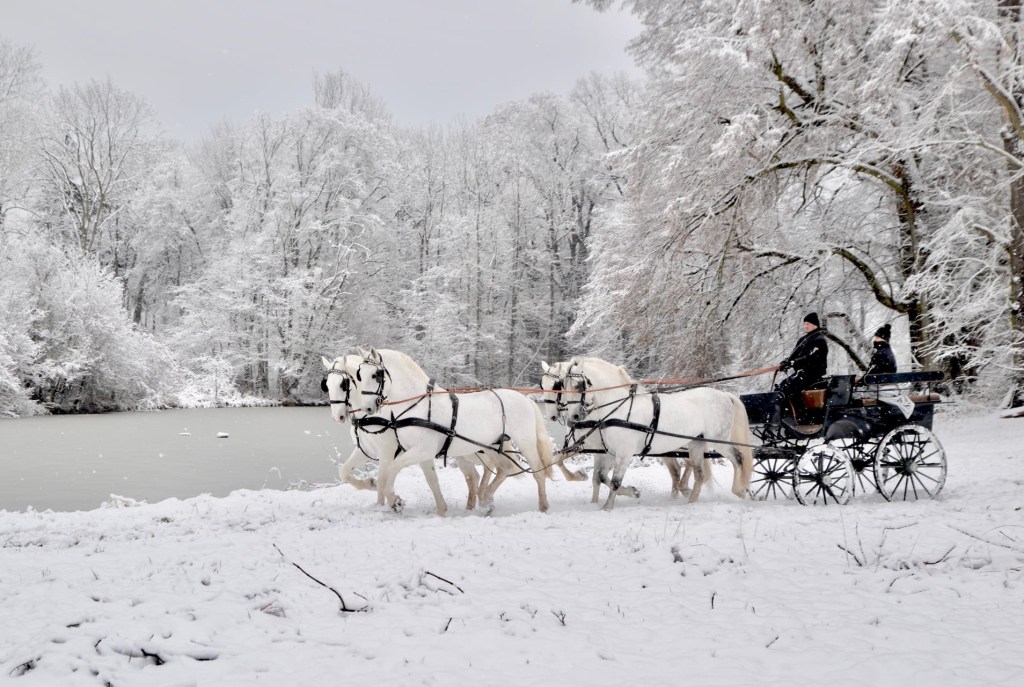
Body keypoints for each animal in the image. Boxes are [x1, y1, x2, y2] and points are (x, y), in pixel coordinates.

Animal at [319, 358, 512, 513]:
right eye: (326, 385)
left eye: (343, 384)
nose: (338, 416)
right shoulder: (366, 449)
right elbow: (344, 472)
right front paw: (370, 487)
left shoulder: (387, 451)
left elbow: (383, 479)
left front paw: (386, 504)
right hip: (463, 452)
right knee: (474, 475)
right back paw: (475, 503)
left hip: (477, 449)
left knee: (492, 467)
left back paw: (484, 498)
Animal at [352, 352, 561, 513]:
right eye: (360, 375)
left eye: (376, 375)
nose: (368, 408)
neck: (419, 405)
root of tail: (526, 399)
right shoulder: (421, 454)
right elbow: (432, 481)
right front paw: (441, 510)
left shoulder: (422, 450)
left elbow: (393, 467)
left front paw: (395, 500)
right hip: (492, 444)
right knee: (504, 468)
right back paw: (485, 499)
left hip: (525, 442)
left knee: (537, 472)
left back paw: (542, 506)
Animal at [544, 358, 704, 501]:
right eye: (543, 385)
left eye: (557, 386)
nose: (551, 415)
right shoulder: (588, 446)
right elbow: (561, 461)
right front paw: (588, 491)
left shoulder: (602, 449)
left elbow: (600, 477)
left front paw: (630, 492)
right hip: (666, 448)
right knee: (677, 470)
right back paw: (677, 494)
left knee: (688, 464)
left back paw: (684, 490)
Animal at [561, 358, 753, 507]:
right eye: (563, 386)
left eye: (578, 385)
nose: (574, 416)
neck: (621, 407)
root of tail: (725, 395)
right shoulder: (609, 452)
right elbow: (601, 477)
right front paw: (632, 492)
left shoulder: (624, 453)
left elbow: (615, 481)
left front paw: (607, 507)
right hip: (696, 443)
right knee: (699, 474)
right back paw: (691, 501)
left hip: (718, 440)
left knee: (738, 458)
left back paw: (739, 491)